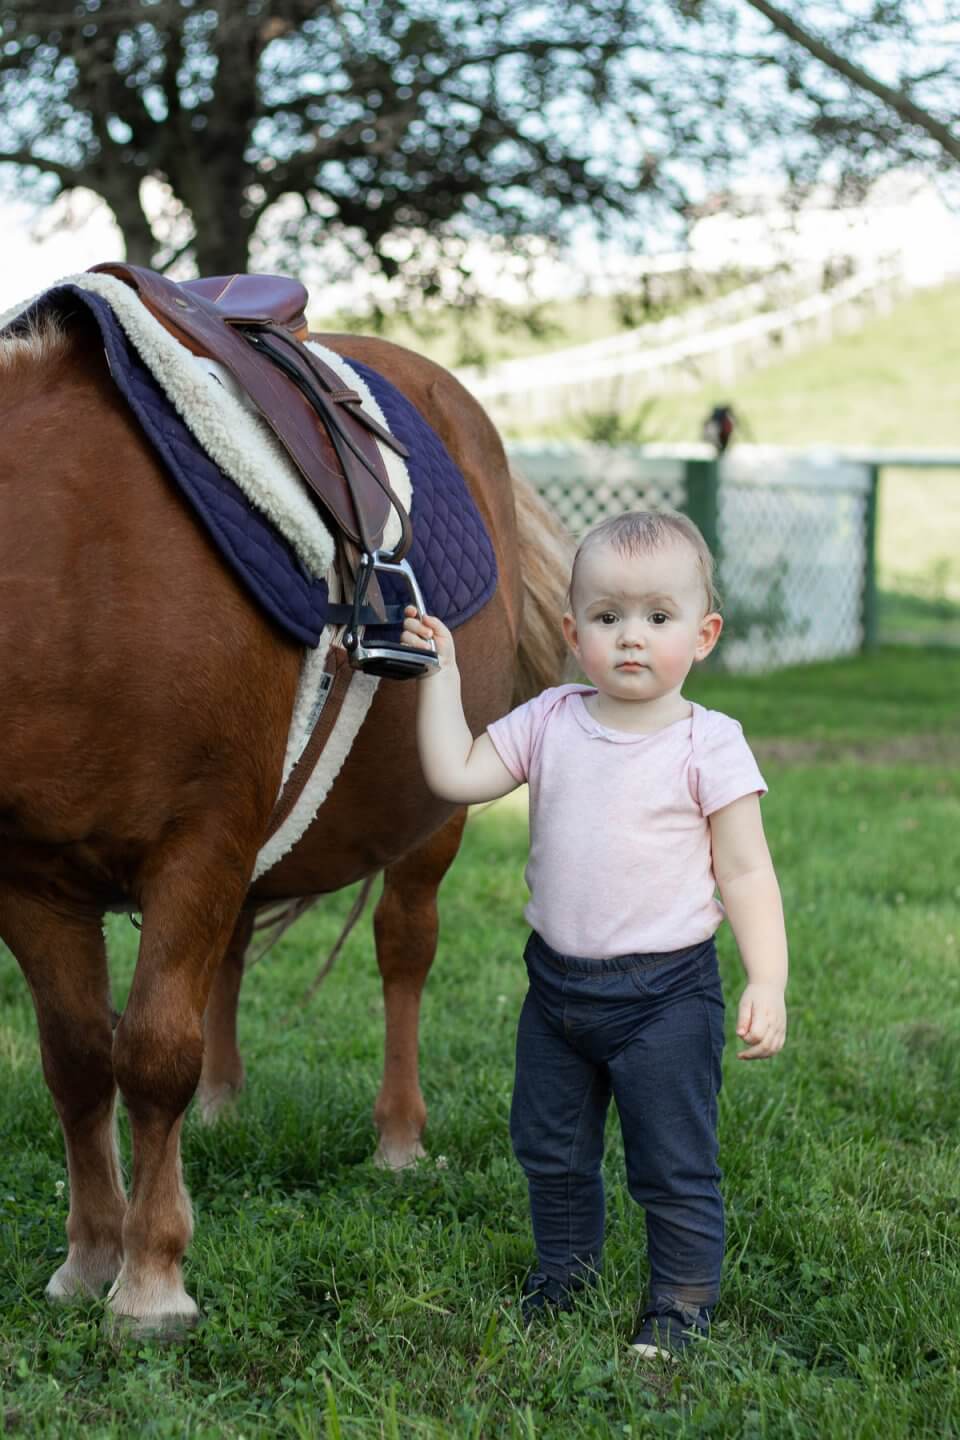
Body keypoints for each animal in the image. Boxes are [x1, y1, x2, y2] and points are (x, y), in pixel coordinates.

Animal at [0, 309, 569, 1330]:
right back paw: (224, 1105)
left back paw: (397, 1139)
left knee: (403, 950)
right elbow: (75, 1062)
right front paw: (90, 1256)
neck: (70, 564)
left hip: (431, 822)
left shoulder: (201, 840)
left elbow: (152, 1052)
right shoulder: (30, 878)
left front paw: (151, 1278)